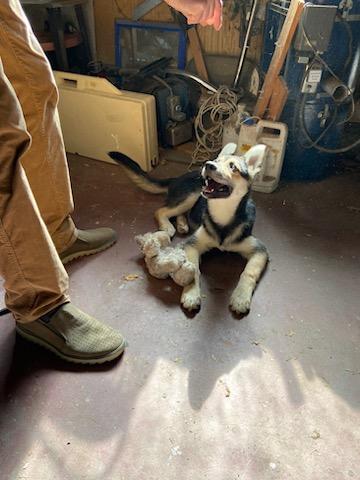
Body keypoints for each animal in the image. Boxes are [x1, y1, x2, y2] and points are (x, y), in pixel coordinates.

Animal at [108, 142, 268, 316]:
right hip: (191, 196)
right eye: (215, 161)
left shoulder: (259, 250)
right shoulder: (193, 244)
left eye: (233, 167)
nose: (208, 165)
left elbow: (248, 273)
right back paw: (168, 226)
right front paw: (191, 295)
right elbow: (194, 270)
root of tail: (179, 177)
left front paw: (240, 297)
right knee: (161, 210)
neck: (223, 214)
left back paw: (182, 224)